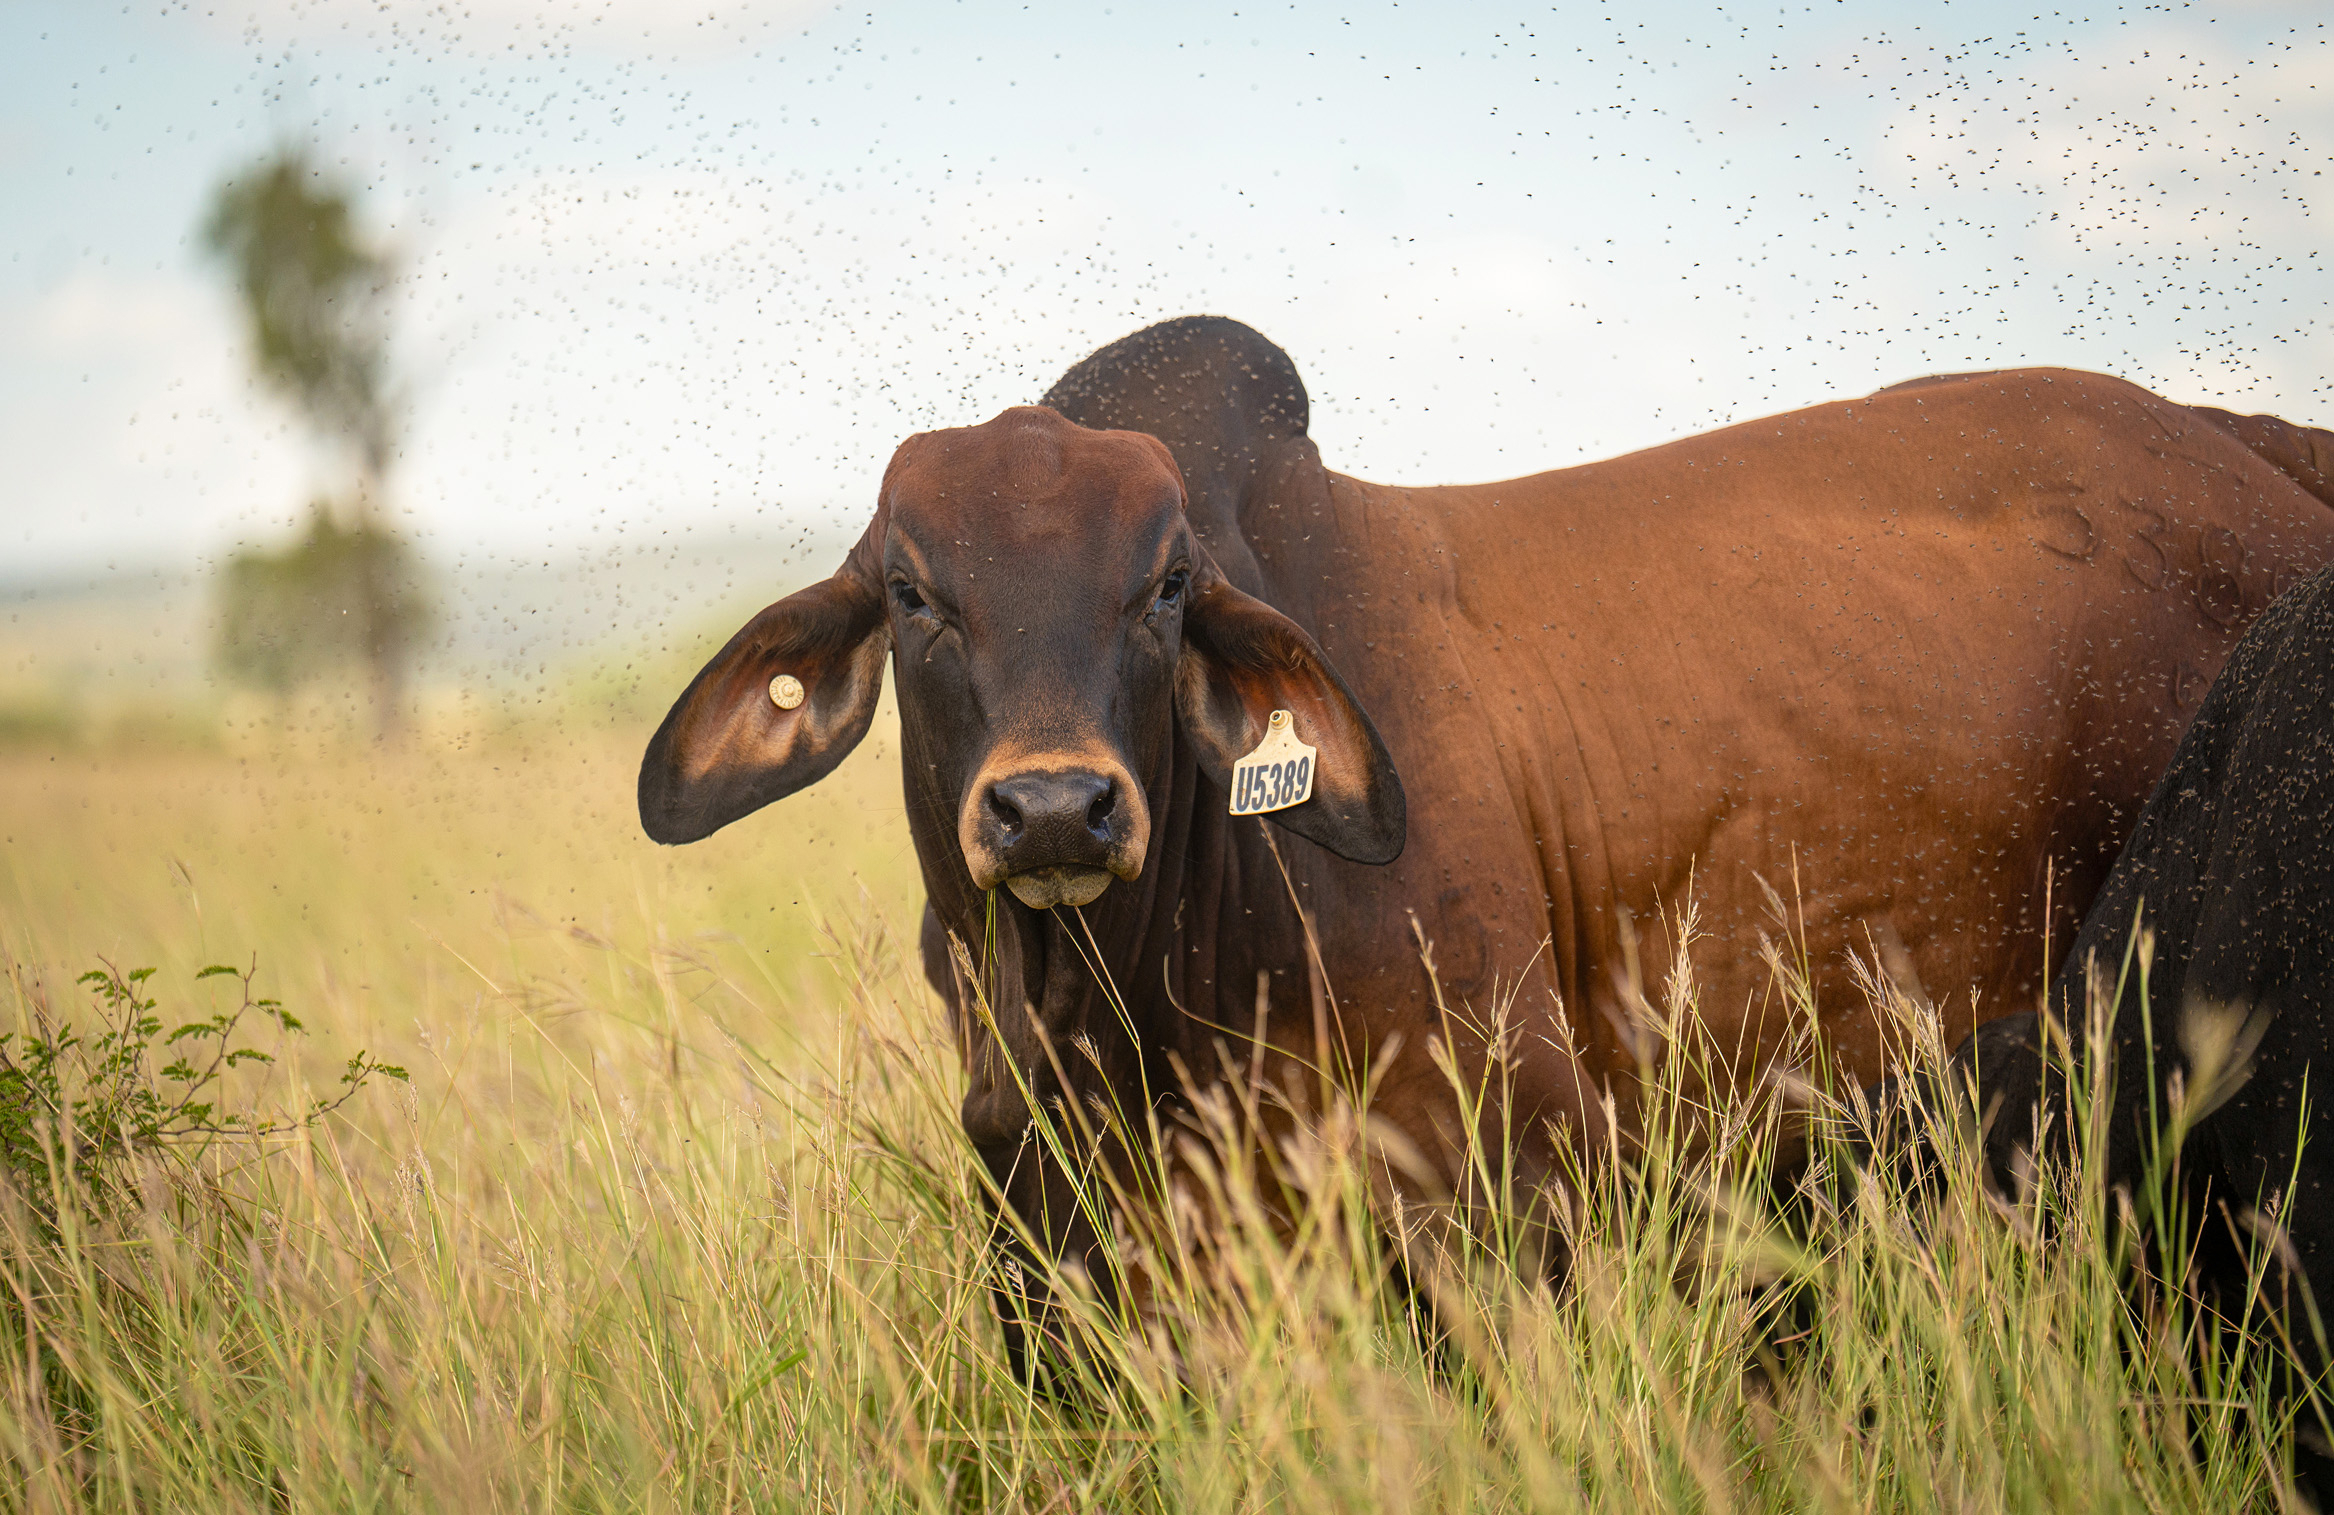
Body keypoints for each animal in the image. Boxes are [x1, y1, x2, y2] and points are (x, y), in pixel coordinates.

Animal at [638, 315, 2334, 1368]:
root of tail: (2242, 439)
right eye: (912, 590)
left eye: (1166, 585)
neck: (1127, 1013)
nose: (1055, 804)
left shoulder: (1514, 1200)